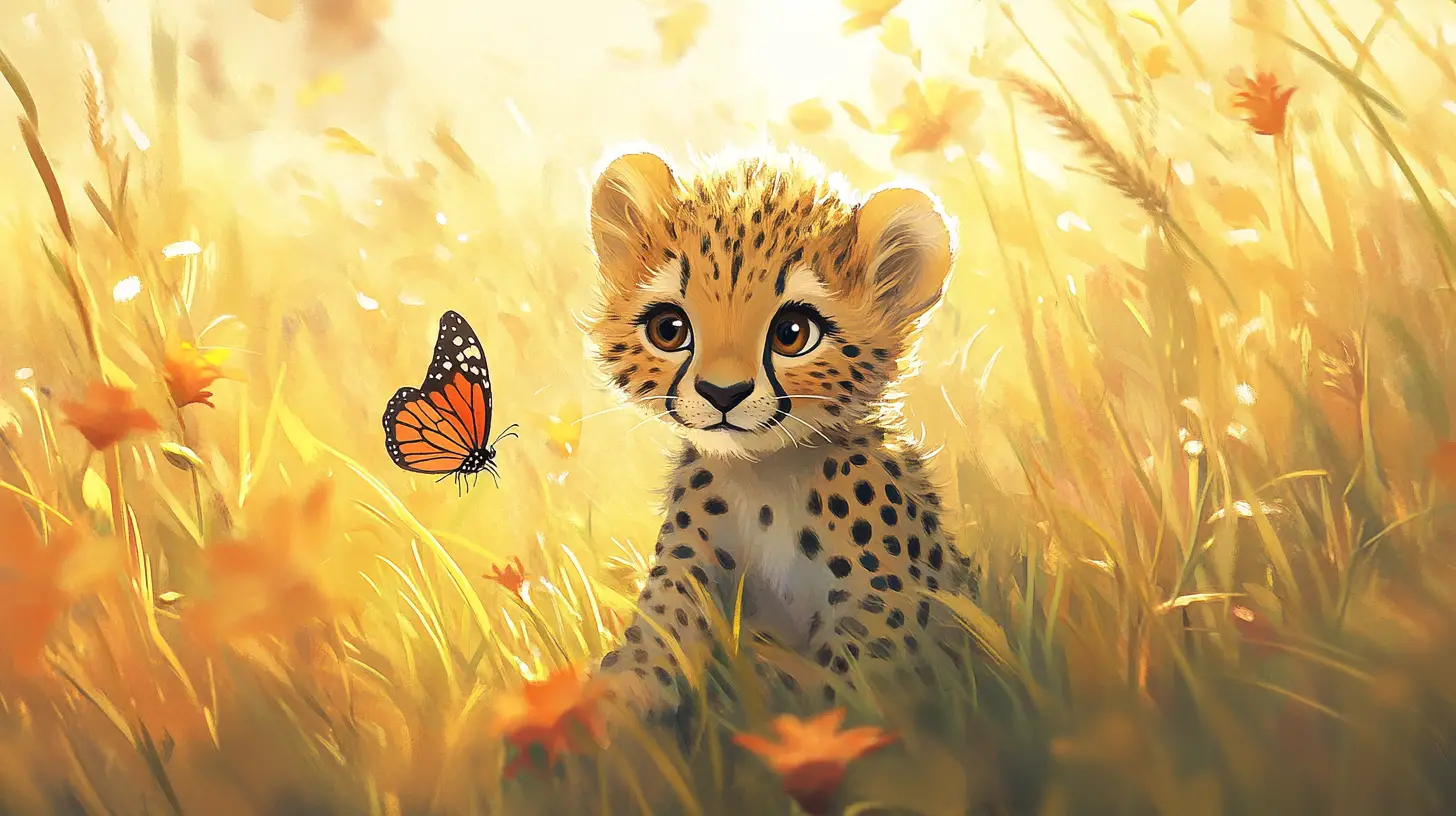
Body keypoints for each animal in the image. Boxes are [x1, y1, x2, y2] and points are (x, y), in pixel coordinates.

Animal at [584, 144, 979, 715]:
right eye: (669, 329)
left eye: (793, 333)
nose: (722, 393)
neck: (764, 477)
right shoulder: (685, 573)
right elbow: (654, 646)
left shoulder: (888, 609)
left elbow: (856, 688)